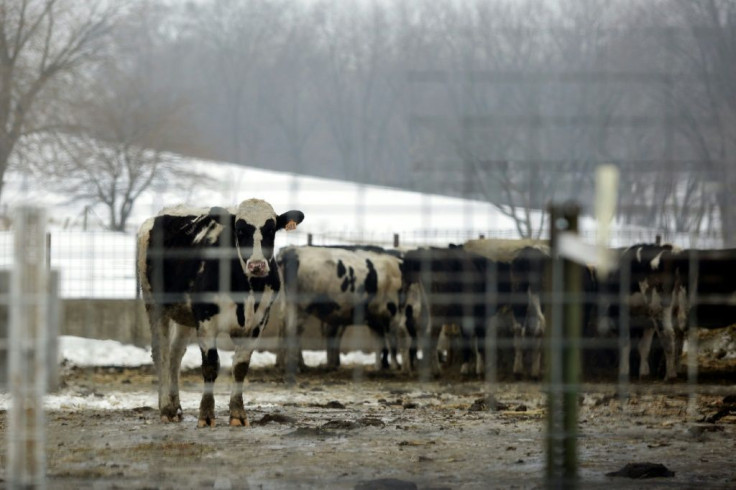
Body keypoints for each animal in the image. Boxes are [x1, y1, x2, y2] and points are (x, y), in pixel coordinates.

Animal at [138, 198, 304, 424]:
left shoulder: (258, 323)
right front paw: (206, 415)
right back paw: (166, 408)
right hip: (154, 304)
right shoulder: (206, 319)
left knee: (175, 354)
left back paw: (176, 406)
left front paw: (238, 414)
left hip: (184, 316)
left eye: (271, 230)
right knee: (160, 353)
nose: (257, 265)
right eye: (240, 230)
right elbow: (210, 365)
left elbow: (240, 367)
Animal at [274, 245, 426, 376]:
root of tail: (291, 250)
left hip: (288, 305)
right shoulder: (396, 313)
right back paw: (296, 367)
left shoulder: (375, 318)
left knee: (284, 327)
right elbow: (401, 337)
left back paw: (285, 365)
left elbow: (380, 341)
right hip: (301, 307)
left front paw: (381, 367)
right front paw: (404, 368)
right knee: (293, 331)